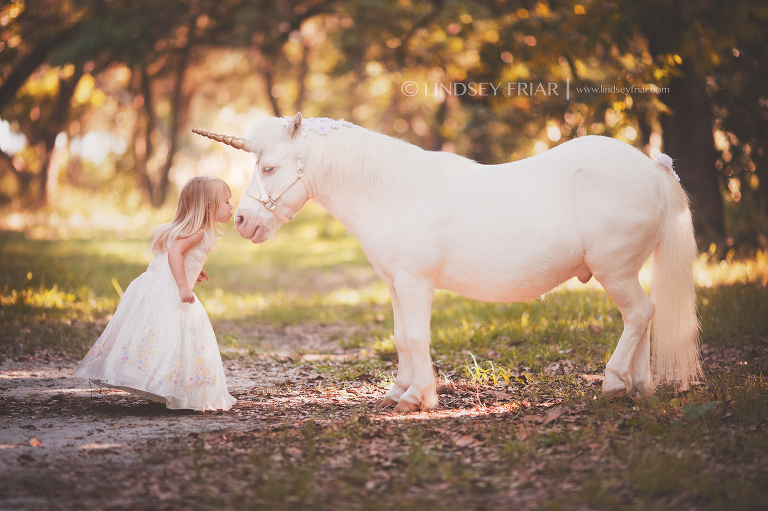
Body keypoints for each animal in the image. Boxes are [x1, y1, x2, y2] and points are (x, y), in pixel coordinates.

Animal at [194, 114, 704, 414]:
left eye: (270, 168)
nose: (242, 221)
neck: (390, 190)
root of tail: (653, 168)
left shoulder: (415, 283)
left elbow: (418, 337)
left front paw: (420, 398)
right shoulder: (396, 284)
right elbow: (401, 337)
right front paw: (400, 392)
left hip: (613, 270)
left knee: (640, 313)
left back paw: (615, 382)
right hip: (624, 272)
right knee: (641, 317)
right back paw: (637, 386)